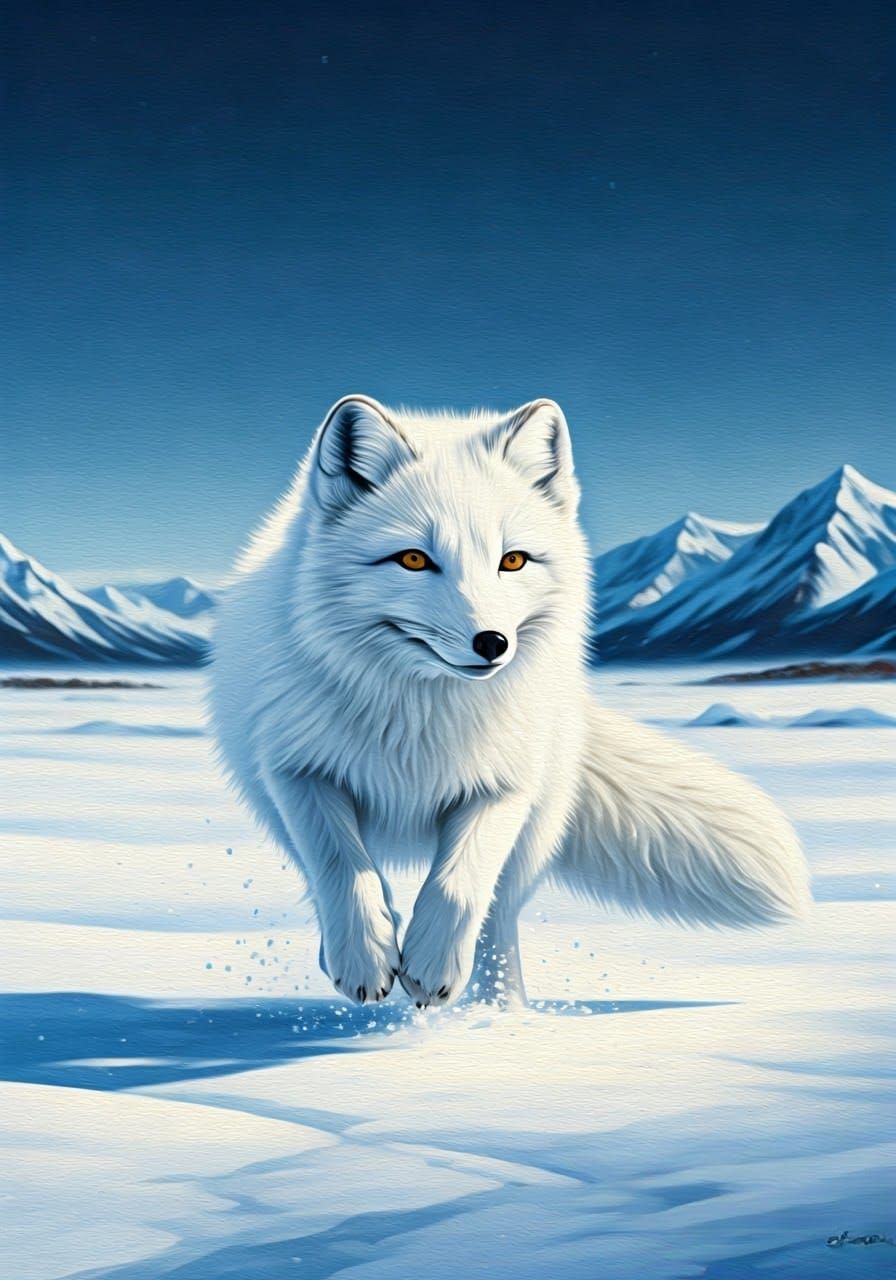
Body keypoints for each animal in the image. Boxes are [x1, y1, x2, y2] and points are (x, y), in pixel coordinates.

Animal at [208, 395, 811, 1008]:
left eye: (513, 561)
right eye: (413, 560)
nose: (492, 643)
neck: (419, 717)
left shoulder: (506, 782)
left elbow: (458, 884)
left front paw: (430, 965)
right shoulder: (297, 772)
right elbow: (343, 867)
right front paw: (366, 957)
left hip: (537, 827)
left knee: (497, 918)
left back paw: (500, 1011)